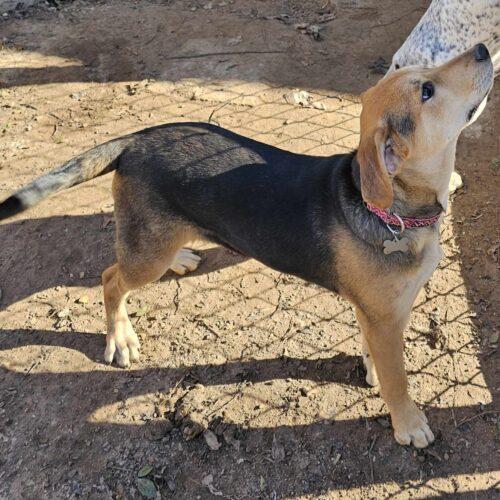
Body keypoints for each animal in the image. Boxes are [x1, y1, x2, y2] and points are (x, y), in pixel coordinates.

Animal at [0, 45, 492, 448]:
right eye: (427, 90)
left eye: (423, 74)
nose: (485, 48)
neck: (398, 211)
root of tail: (135, 139)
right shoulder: (387, 319)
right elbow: (398, 380)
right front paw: (408, 424)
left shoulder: (376, 313)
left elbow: (374, 354)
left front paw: (372, 371)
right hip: (143, 259)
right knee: (110, 279)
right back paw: (120, 337)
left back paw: (182, 255)